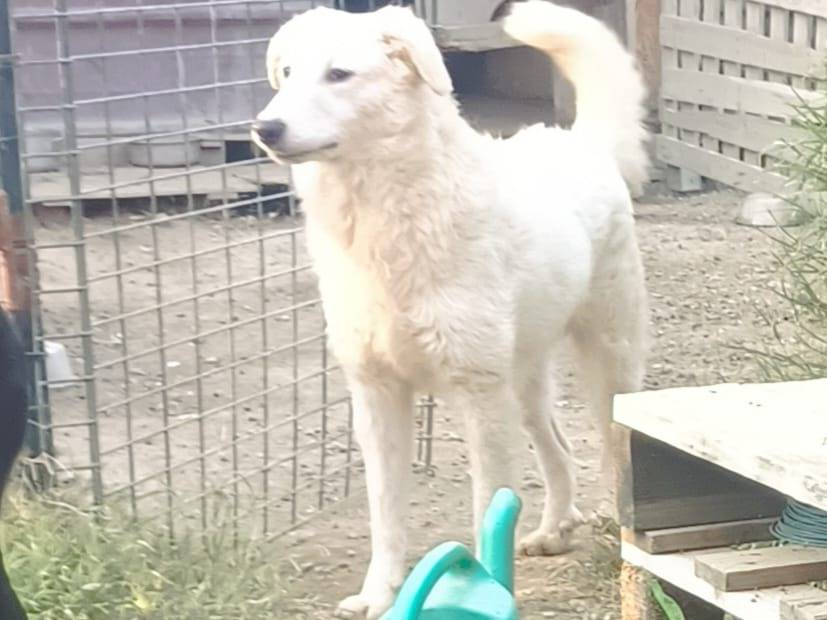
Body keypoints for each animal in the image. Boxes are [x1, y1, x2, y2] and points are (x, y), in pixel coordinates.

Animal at [253, 2, 649, 617]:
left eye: (338, 74)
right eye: (288, 74)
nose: (264, 128)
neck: (386, 223)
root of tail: (577, 141)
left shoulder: (479, 397)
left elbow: (488, 511)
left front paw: (483, 587)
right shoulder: (378, 395)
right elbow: (386, 515)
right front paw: (379, 594)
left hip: (607, 362)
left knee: (614, 452)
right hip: (523, 382)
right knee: (559, 449)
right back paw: (555, 529)